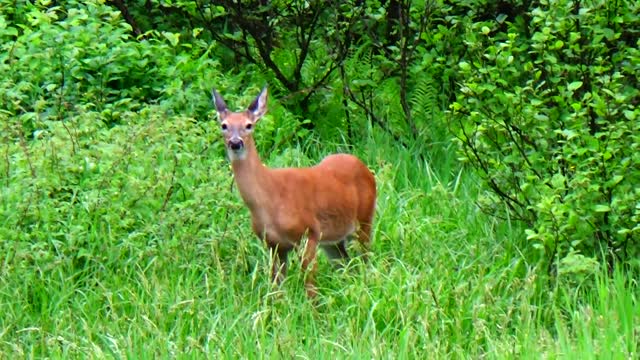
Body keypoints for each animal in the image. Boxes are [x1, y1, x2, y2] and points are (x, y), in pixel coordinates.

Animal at [212, 86, 378, 296]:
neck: (269, 200)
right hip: (333, 240)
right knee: (347, 266)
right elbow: (276, 288)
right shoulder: (274, 245)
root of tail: (366, 169)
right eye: (224, 125)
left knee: (365, 260)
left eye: (249, 125)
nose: (235, 142)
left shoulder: (310, 232)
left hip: (364, 220)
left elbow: (310, 285)